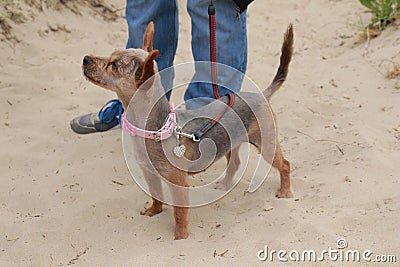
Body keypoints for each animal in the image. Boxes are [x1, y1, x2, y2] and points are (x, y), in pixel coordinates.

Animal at [82, 22, 294, 241]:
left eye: (114, 66)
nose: (85, 58)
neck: (157, 130)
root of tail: (261, 95)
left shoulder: (179, 184)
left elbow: (179, 213)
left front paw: (180, 237)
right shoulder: (150, 174)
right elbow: (156, 196)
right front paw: (154, 211)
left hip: (266, 145)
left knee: (285, 165)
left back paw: (284, 191)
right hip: (230, 143)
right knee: (235, 163)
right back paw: (225, 185)